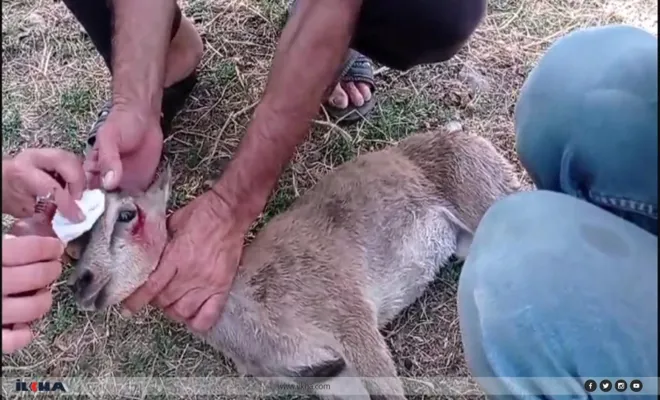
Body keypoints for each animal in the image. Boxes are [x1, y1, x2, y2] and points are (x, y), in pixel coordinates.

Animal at [67, 127, 520, 396]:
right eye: (77, 238)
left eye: (127, 214)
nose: (82, 282)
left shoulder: (350, 317)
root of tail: (467, 135)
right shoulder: (324, 374)